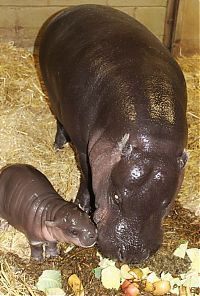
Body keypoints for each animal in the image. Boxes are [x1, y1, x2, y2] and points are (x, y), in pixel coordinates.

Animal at [38, 4, 188, 264]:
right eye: (116, 197)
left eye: (166, 203)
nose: (129, 254)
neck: (154, 136)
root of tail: (68, 10)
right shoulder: (85, 151)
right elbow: (86, 177)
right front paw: (82, 206)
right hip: (54, 96)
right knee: (59, 120)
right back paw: (58, 144)